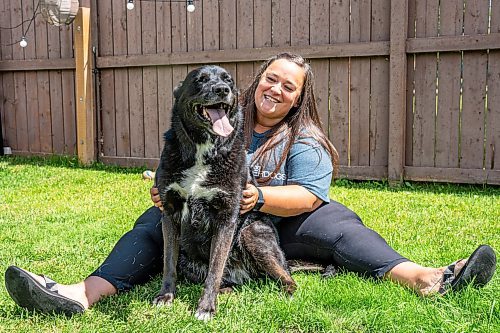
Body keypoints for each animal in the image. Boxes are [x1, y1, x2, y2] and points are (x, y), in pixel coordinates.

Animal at [154, 65, 294, 320]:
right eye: (200, 80)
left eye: (228, 80)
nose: (222, 90)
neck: (203, 149)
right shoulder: (169, 214)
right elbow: (168, 263)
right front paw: (165, 296)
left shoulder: (226, 219)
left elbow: (215, 269)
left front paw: (206, 308)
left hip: (252, 233)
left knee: (287, 278)